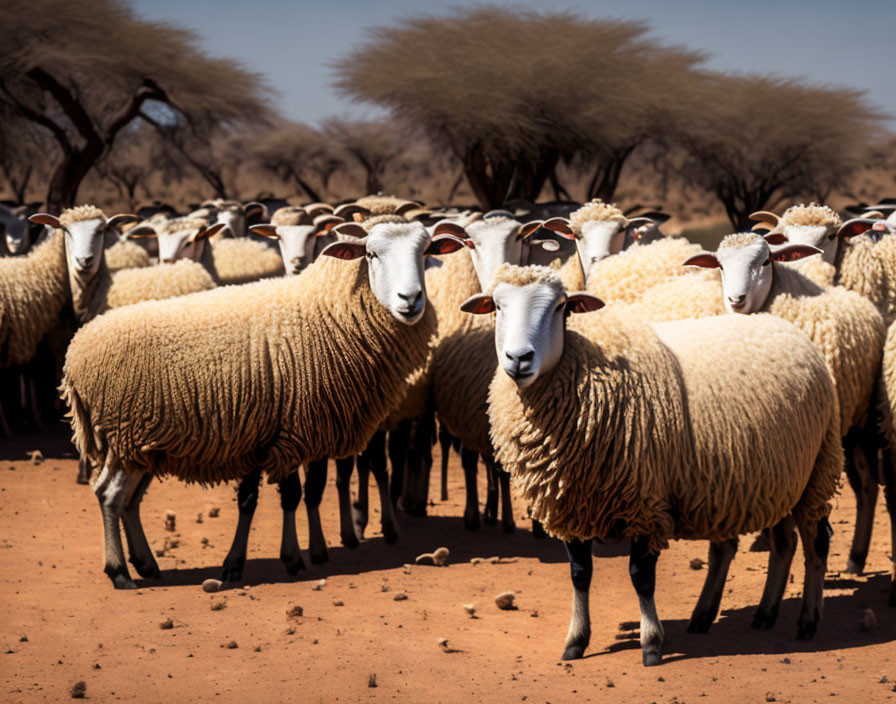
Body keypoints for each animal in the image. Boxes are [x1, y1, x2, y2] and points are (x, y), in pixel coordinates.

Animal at [466, 264, 844, 664]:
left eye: (561, 307)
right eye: (496, 306)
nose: (518, 358)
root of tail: (786, 327)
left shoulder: (645, 503)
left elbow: (641, 577)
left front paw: (651, 644)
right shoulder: (572, 506)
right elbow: (580, 574)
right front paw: (576, 641)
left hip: (818, 467)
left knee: (816, 543)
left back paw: (807, 620)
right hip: (770, 478)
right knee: (778, 544)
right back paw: (747, 614)